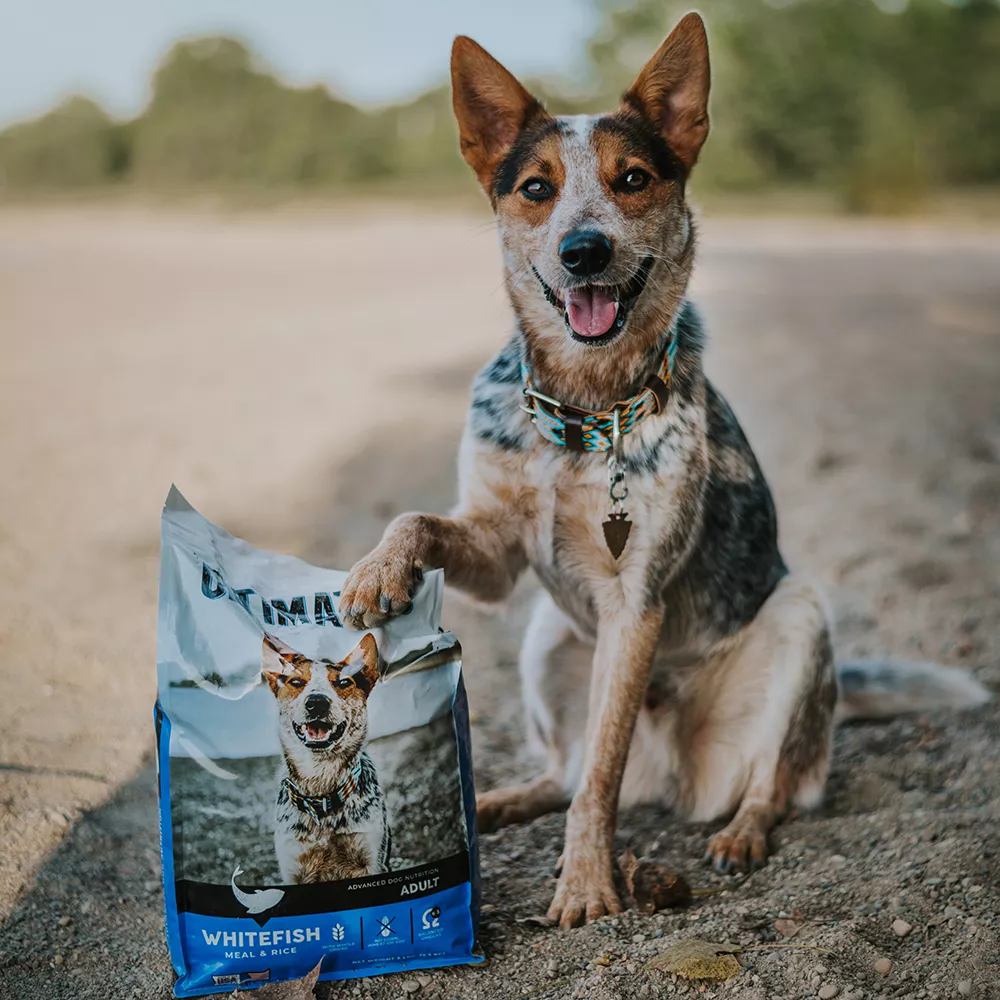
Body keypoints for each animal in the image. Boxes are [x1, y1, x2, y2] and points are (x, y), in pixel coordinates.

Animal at [338, 11, 992, 924]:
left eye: (634, 179)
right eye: (535, 188)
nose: (583, 250)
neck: (583, 416)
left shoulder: (635, 603)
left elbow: (602, 781)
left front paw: (585, 884)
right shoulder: (500, 562)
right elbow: (419, 518)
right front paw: (378, 570)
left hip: (799, 620)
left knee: (768, 783)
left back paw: (740, 833)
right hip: (545, 638)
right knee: (563, 771)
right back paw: (497, 801)